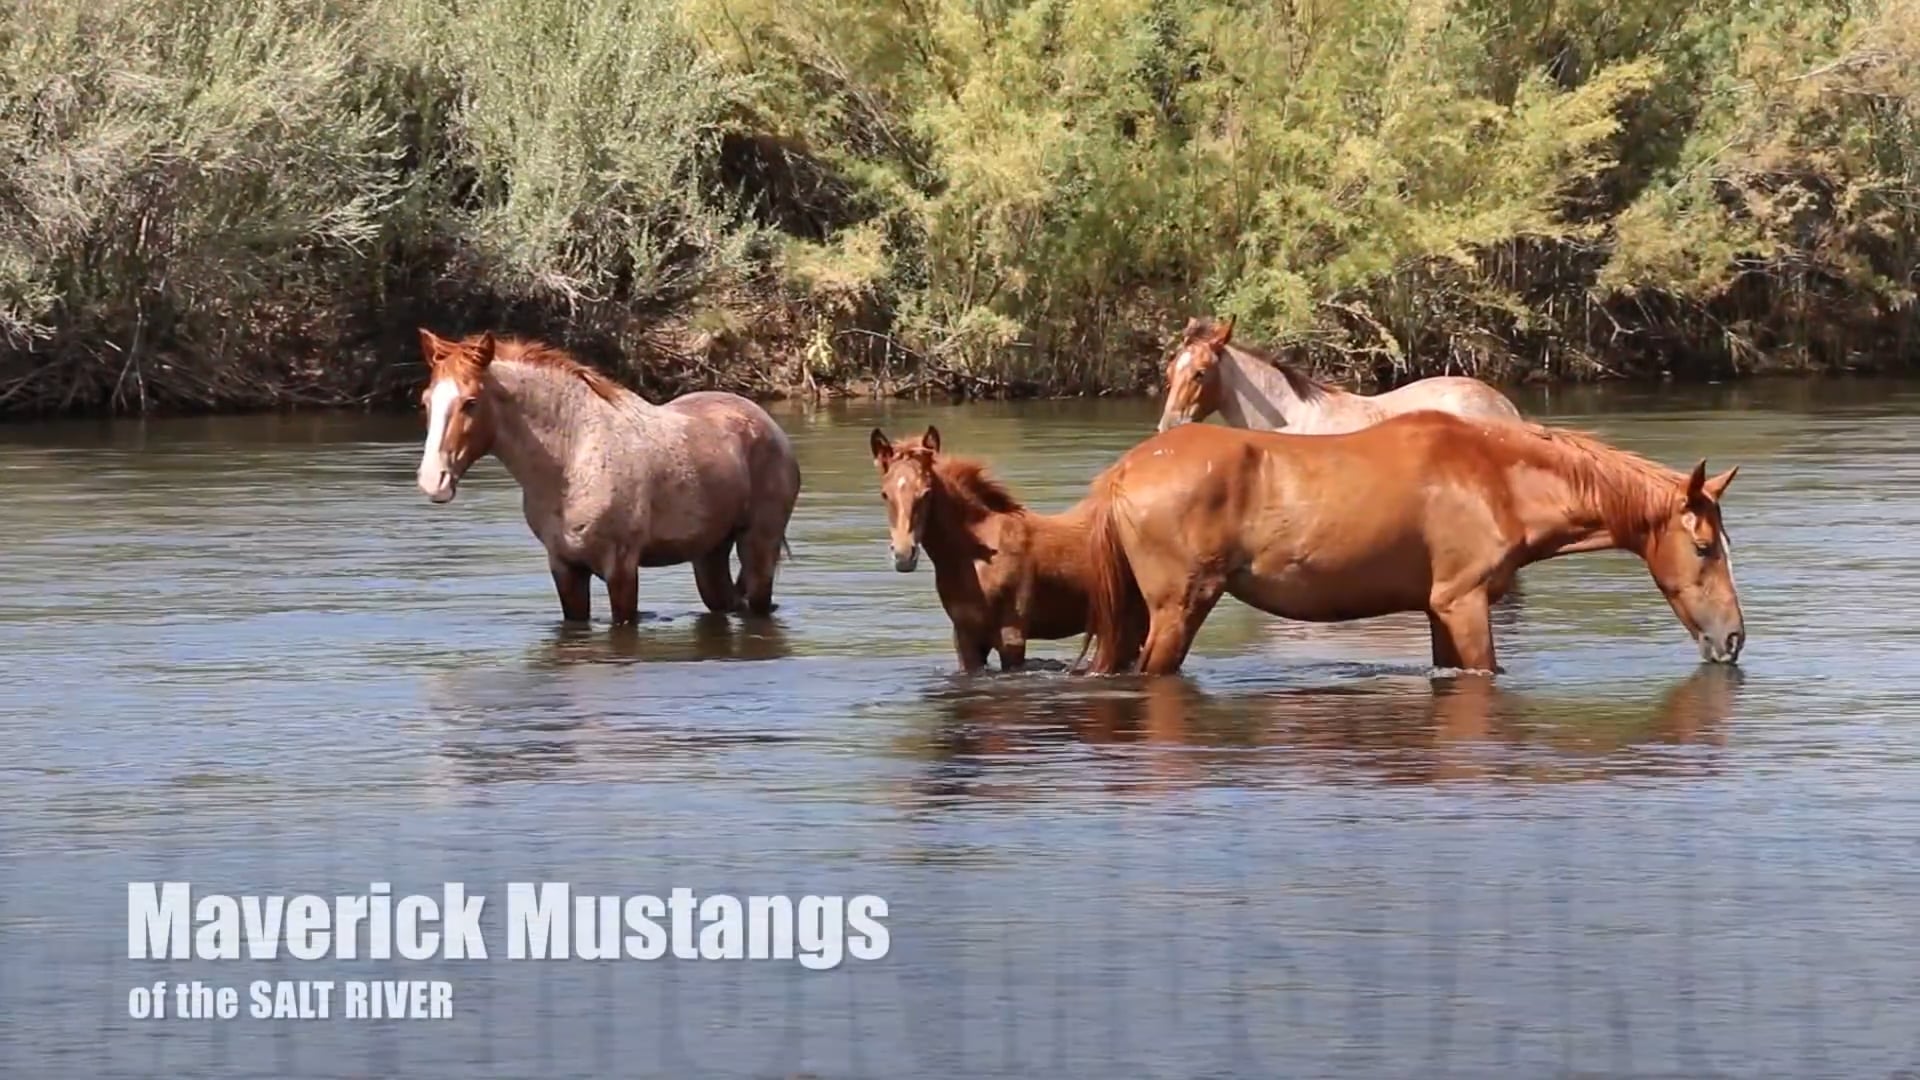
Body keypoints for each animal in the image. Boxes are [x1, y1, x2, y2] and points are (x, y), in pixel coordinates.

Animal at [414, 329, 801, 624]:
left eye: (471, 402)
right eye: (426, 401)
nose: (434, 480)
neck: (571, 459)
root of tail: (770, 428)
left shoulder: (621, 567)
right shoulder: (565, 568)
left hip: (758, 545)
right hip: (709, 556)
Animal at [870, 425, 1095, 672]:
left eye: (926, 492)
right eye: (884, 494)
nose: (903, 555)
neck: (973, 560)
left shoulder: (1012, 637)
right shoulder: (966, 638)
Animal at [1077, 412, 1745, 676]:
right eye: (1704, 547)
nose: (1734, 638)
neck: (1495, 476)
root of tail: (1125, 471)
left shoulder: (1439, 611)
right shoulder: (1464, 603)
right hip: (1179, 609)